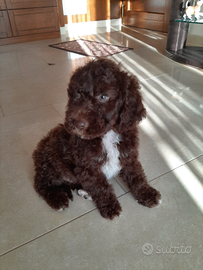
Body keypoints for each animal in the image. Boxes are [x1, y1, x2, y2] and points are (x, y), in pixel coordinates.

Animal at [32, 57, 161, 219]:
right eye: (78, 93)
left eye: (103, 96)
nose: (76, 123)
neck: (107, 135)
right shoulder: (88, 167)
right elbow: (100, 186)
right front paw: (109, 205)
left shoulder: (128, 155)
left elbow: (137, 175)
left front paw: (146, 193)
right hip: (51, 161)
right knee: (41, 183)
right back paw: (57, 198)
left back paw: (84, 191)